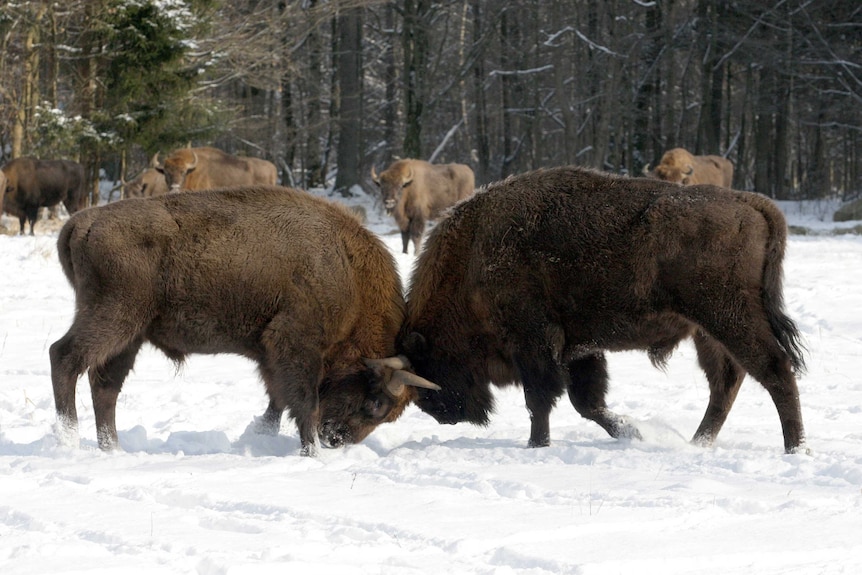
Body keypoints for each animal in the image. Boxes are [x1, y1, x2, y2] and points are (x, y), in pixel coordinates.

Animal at [48, 187, 438, 456]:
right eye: (376, 405)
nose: (336, 439)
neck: (347, 268)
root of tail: (80, 223)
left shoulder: (270, 353)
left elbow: (277, 401)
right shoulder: (295, 343)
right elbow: (304, 402)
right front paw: (310, 453)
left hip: (130, 335)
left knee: (105, 386)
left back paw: (112, 449)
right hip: (114, 317)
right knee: (64, 357)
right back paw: (69, 440)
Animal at [394, 165, 808, 454]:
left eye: (431, 363)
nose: (444, 414)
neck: (474, 254)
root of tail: (751, 202)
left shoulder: (534, 343)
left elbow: (541, 399)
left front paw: (536, 446)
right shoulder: (579, 348)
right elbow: (587, 403)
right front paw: (634, 433)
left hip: (728, 317)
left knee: (775, 371)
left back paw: (795, 449)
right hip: (707, 331)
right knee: (727, 381)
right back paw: (698, 443)